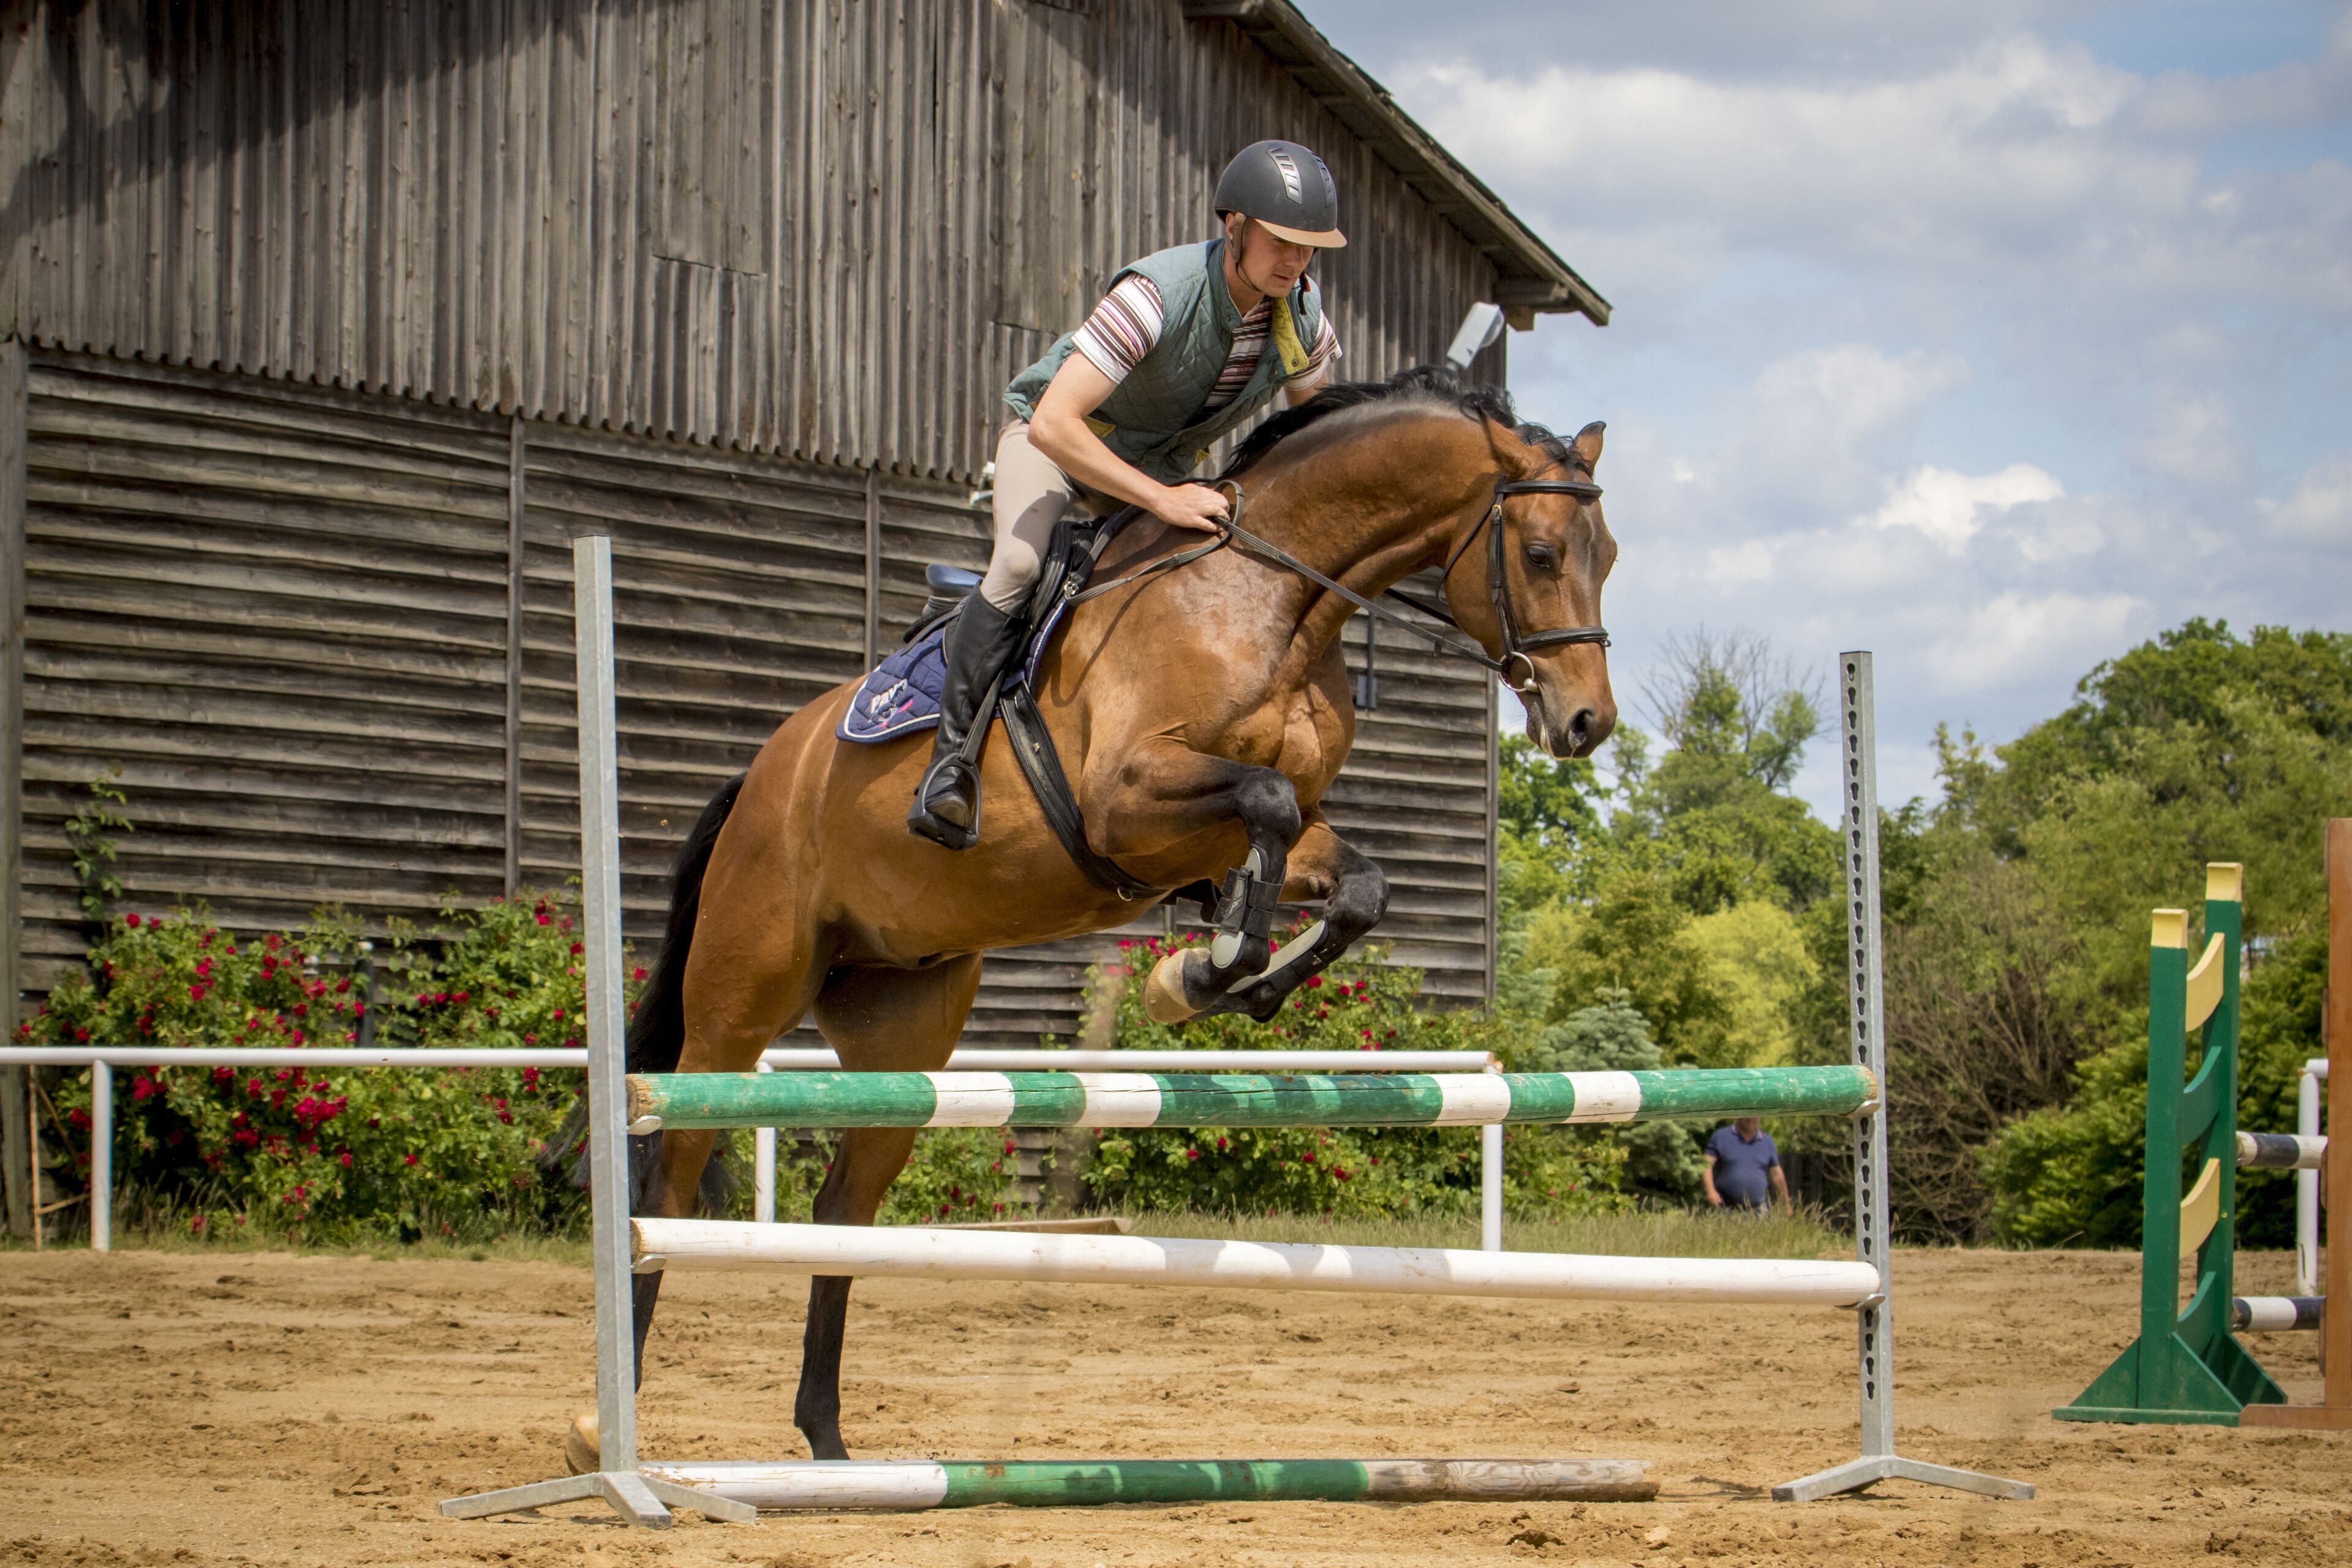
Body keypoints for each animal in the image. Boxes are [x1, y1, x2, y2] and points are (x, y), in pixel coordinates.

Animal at [593, 366, 1618, 1467]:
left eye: (1608, 556)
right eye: (1543, 554)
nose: (1587, 723)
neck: (1274, 603)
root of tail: (759, 777)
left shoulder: (1254, 832)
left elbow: (1354, 882)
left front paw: (1209, 978)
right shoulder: (1126, 800)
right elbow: (1266, 802)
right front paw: (1209, 966)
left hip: (902, 1026)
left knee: (843, 1209)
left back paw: (827, 1443)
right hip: (741, 1000)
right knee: (668, 1181)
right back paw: (605, 1428)